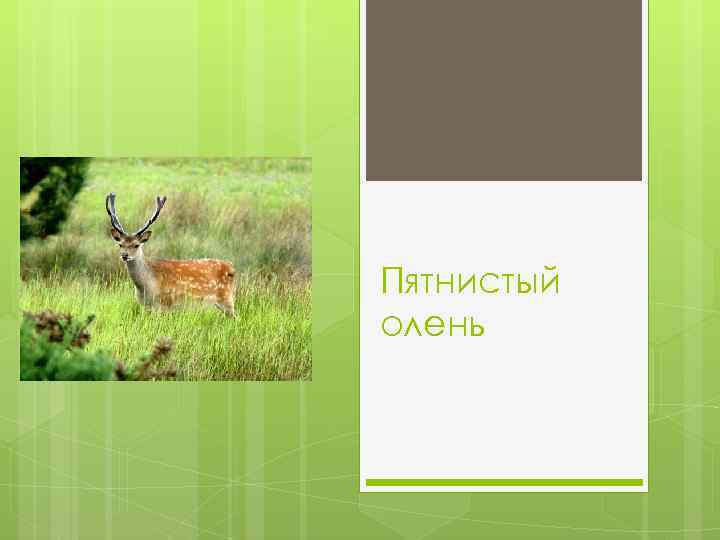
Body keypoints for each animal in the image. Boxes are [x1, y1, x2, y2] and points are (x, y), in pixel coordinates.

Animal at [106, 193, 237, 317]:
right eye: (120, 244)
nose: (124, 255)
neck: (147, 287)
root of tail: (232, 269)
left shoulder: (165, 304)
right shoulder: (145, 307)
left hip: (227, 299)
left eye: (136, 245)